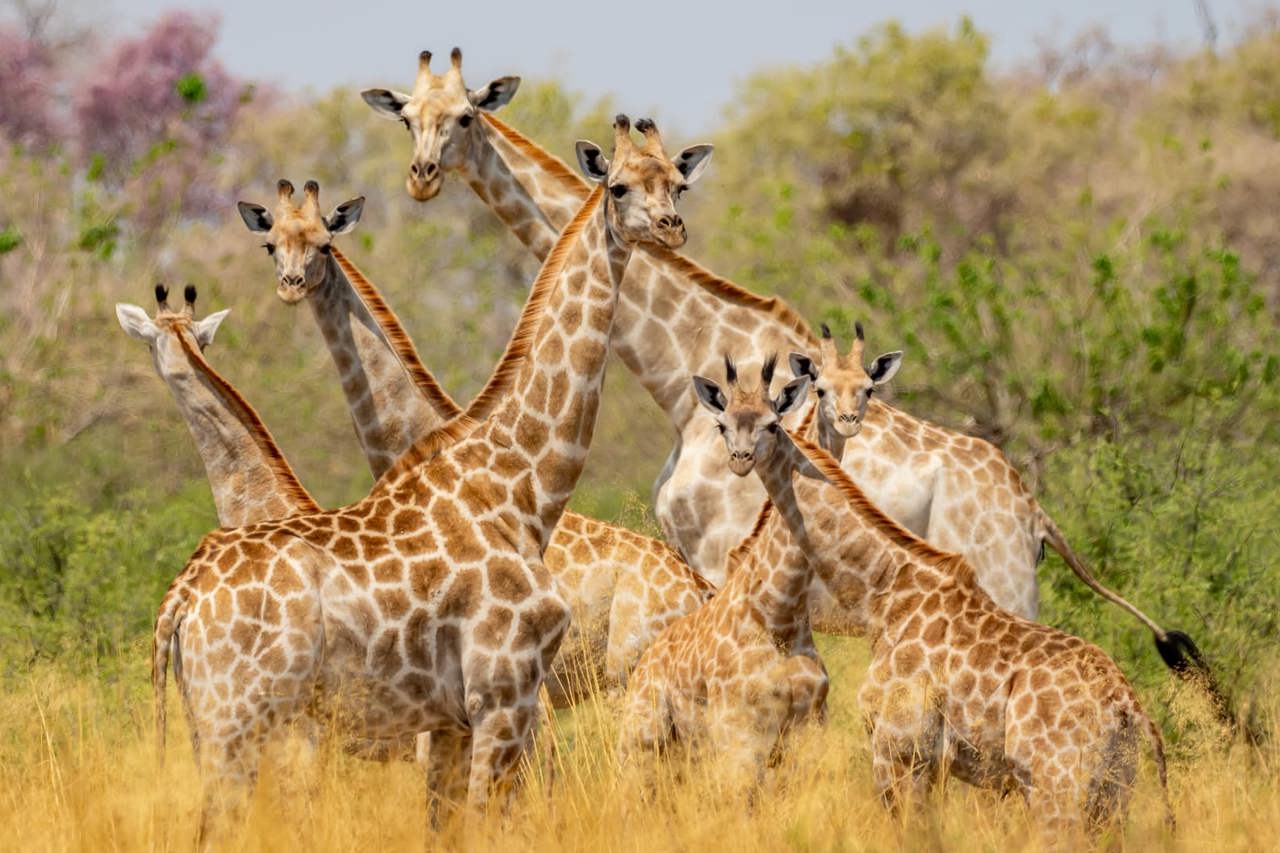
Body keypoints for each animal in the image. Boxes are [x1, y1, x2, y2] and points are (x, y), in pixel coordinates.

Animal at [360, 49, 1210, 686]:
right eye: (408, 116)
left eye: (465, 114)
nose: (422, 175)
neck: (677, 368)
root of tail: (1034, 512)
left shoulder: (716, 553)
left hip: (1003, 582)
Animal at [616, 358, 827, 783]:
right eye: (722, 425)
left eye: (773, 424)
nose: (741, 458)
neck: (780, 614)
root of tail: (647, 661)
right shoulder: (739, 735)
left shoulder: (811, 727)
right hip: (640, 741)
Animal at [691, 359, 1173, 840]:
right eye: (723, 424)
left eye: (772, 424)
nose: (740, 459)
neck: (882, 593)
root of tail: (1131, 711)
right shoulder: (930, 763)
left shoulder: (898, 750)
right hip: (1112, 796)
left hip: (1056, 789)